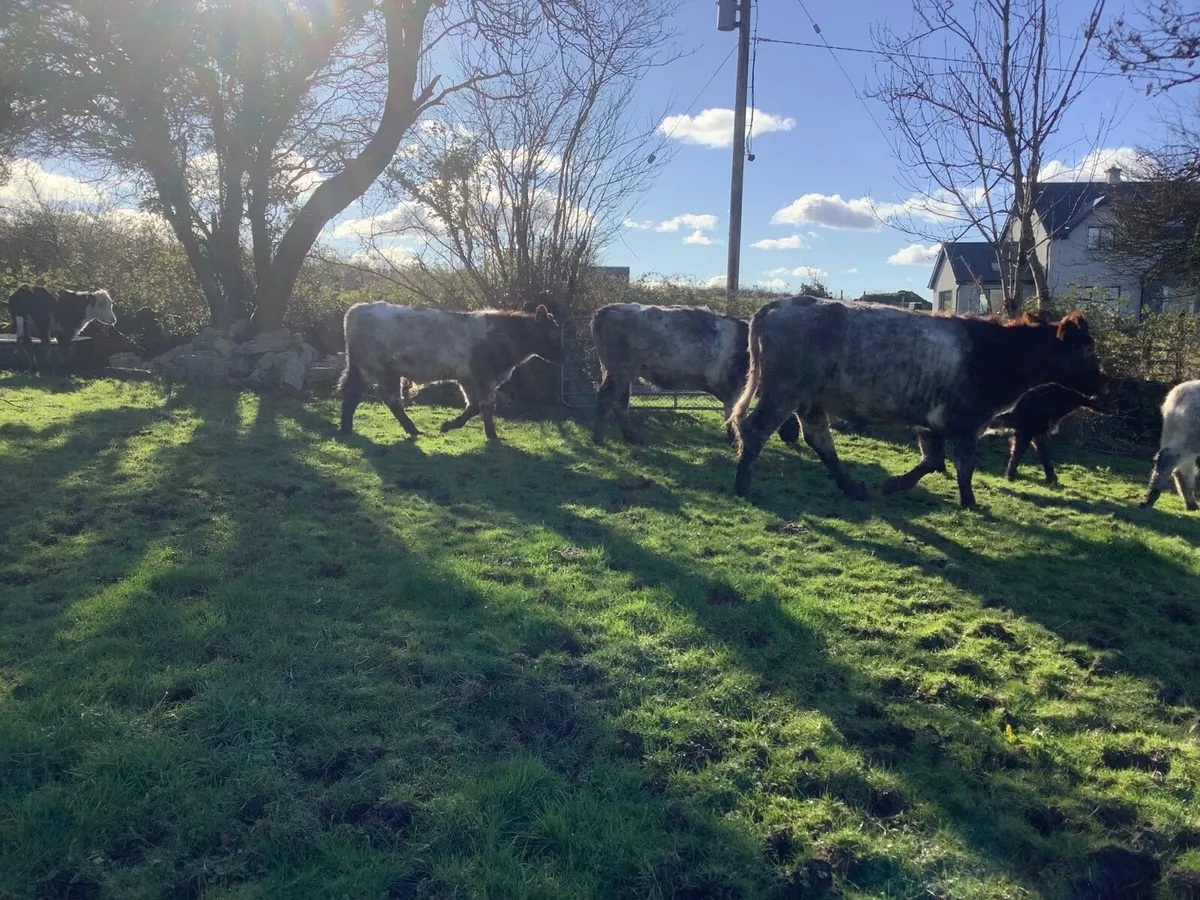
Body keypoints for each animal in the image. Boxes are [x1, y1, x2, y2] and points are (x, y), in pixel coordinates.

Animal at [338, 301, 563, 441]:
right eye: (553, 332)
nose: (563, 355)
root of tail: (359, 308)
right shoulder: (486, 378)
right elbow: (487, 406)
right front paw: (492, 435)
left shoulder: (469, 379)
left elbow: (474, 406)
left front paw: (449, 425)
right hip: (378, 369)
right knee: (381, 398)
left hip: (375, 371)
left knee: (363, 395)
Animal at [590, 302, 800, 446]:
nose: (793, 439)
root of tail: (606, 310)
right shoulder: (734, 389)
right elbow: (733, 416)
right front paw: (735, 442)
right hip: (619, 371)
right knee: (605, 399)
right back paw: (599, 439)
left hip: (621, 373)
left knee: (620, 404)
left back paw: (631, 438)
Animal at [729, 295, 1107, 510]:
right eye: (1088, 350)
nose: (1105, 385)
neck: (995, 353)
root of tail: (781, 304)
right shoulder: (966, 422)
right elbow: (963, 466)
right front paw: (970, 503)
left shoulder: (932, 421)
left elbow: (932, 460)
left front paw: (894, 484)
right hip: (783, 391)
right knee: (755, 430)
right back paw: (742, 486)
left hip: (809, 399)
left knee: (820, 441)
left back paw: (853, 488)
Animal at [1139, 379, 1200, 511]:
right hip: (1190, 439)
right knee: (1168, 458)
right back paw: (1149, 501)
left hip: (1172, 433)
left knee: (1181, 468)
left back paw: (1191, 504)